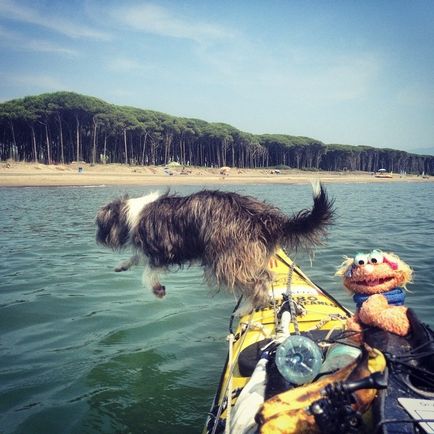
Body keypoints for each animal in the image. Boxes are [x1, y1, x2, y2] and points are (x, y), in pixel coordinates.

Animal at [95, 183, 332, 308]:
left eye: (99, 224)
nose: (97, 238)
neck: (130, 214)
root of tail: (262, 217)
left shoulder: (163, 251)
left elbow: (147, 273)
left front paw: (157, 289)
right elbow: (137, 257)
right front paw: (122, 265)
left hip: (226, 257)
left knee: (259, 279)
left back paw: (248, 306)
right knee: (264, 275)